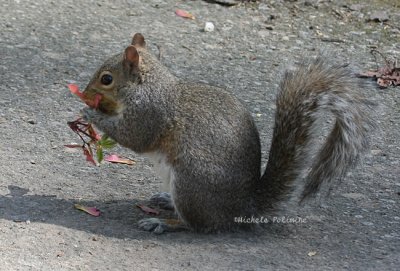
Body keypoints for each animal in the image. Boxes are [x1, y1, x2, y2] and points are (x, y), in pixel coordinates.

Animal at [82, 33, 376, 234]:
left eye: (106, 79)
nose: (84, 94)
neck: (148, 86)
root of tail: (241, 208)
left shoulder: (149, 114)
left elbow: (134, 136)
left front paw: (90, 115)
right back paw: (165, 201)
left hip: (190, 182)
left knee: (199, 226)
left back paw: (163, 222)